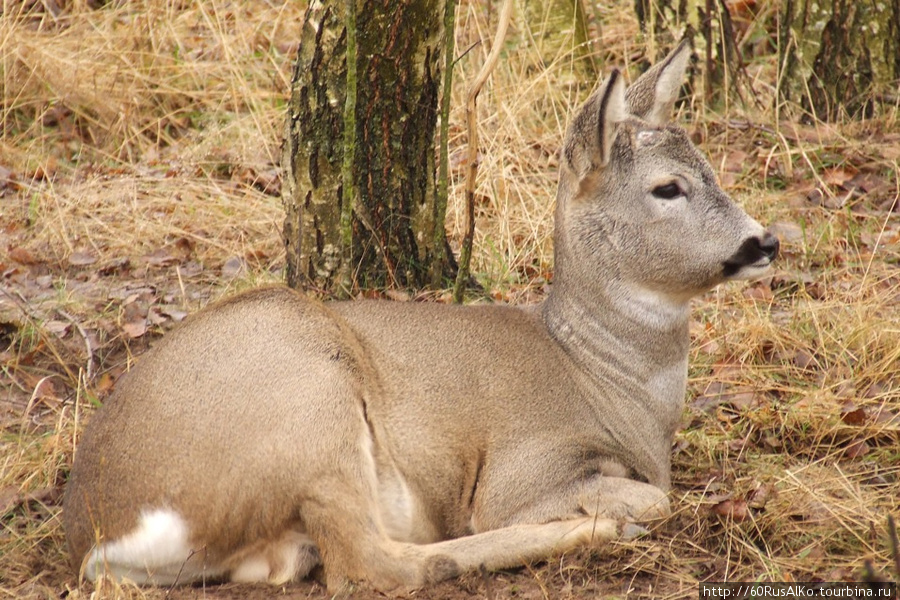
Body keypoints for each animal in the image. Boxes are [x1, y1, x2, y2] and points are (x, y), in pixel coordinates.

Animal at [65, 39, 780, 592]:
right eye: (668, 187)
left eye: (711, 168)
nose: (765, 241)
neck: (605, 377)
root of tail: (101, 529)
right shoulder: (524, 467)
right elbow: (652, 496)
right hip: (307, 402)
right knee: (374, 565)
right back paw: (591, 530)